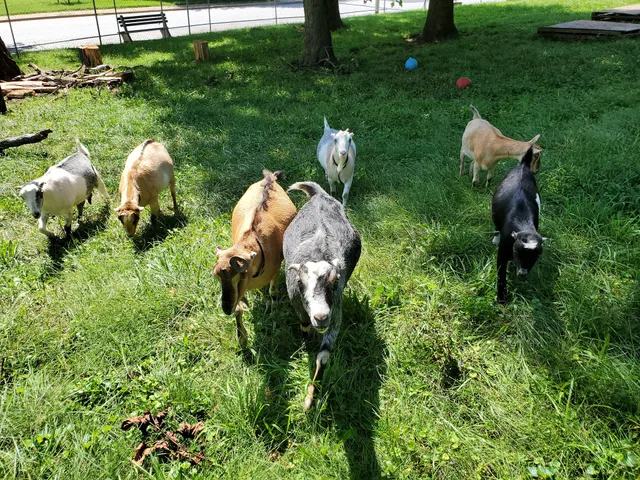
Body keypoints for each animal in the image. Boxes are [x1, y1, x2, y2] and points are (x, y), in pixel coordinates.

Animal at [213, 170, 297, 349]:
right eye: (218, 278)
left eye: (239, 276)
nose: (226, 308)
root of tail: (269, 178)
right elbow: (239, 308)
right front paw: (242, 339)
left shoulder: (275, 268)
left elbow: (273, 292)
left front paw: (273, 309)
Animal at [284, 181, 361, 410]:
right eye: (300, 283)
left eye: (335, 281)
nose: (320, 317)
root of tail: (319, 195)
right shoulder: (298, 307)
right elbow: (303, 326)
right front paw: (304, 346)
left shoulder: (336, 314)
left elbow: (324, 357)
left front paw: (311, 398)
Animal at [491, 147, 546, 304]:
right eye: (516, 251)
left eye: (537, 255)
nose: (522, 273)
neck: (523, 224)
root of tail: (523, 165)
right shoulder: (502, 254)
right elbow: (501, 276)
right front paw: (501, 300)